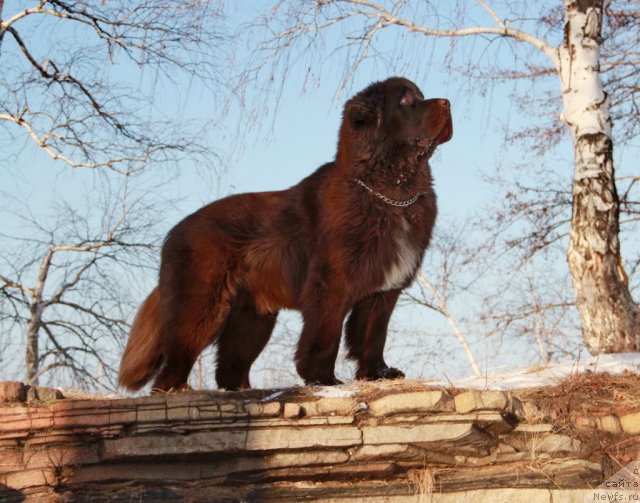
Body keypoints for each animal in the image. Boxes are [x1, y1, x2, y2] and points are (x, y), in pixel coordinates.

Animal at [119, 78, 450, 394]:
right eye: (405, 101)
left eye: (421, 95)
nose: (447, 102)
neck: (391, 194)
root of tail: (175, 230)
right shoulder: (331, 285)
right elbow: (325, 335)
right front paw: (323, 379)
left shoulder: (382, 292)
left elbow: (373, 336)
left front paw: (378, 374)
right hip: (202, 303)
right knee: (177, 355)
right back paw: (176, 388)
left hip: (252, 318)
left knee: (229, 366)